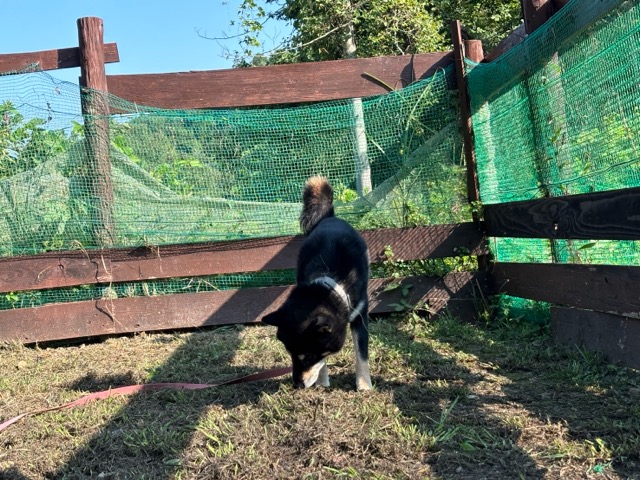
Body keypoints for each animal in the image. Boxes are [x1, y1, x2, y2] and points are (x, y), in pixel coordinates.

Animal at [262, 176, 372, 391]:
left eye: (309, 357)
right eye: (290, 354)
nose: (297, 385)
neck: (332, 282)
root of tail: (329, 217)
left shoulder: (360, 315)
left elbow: (361, 354)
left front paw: (364, 385)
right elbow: (323, 363)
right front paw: (322, 380)